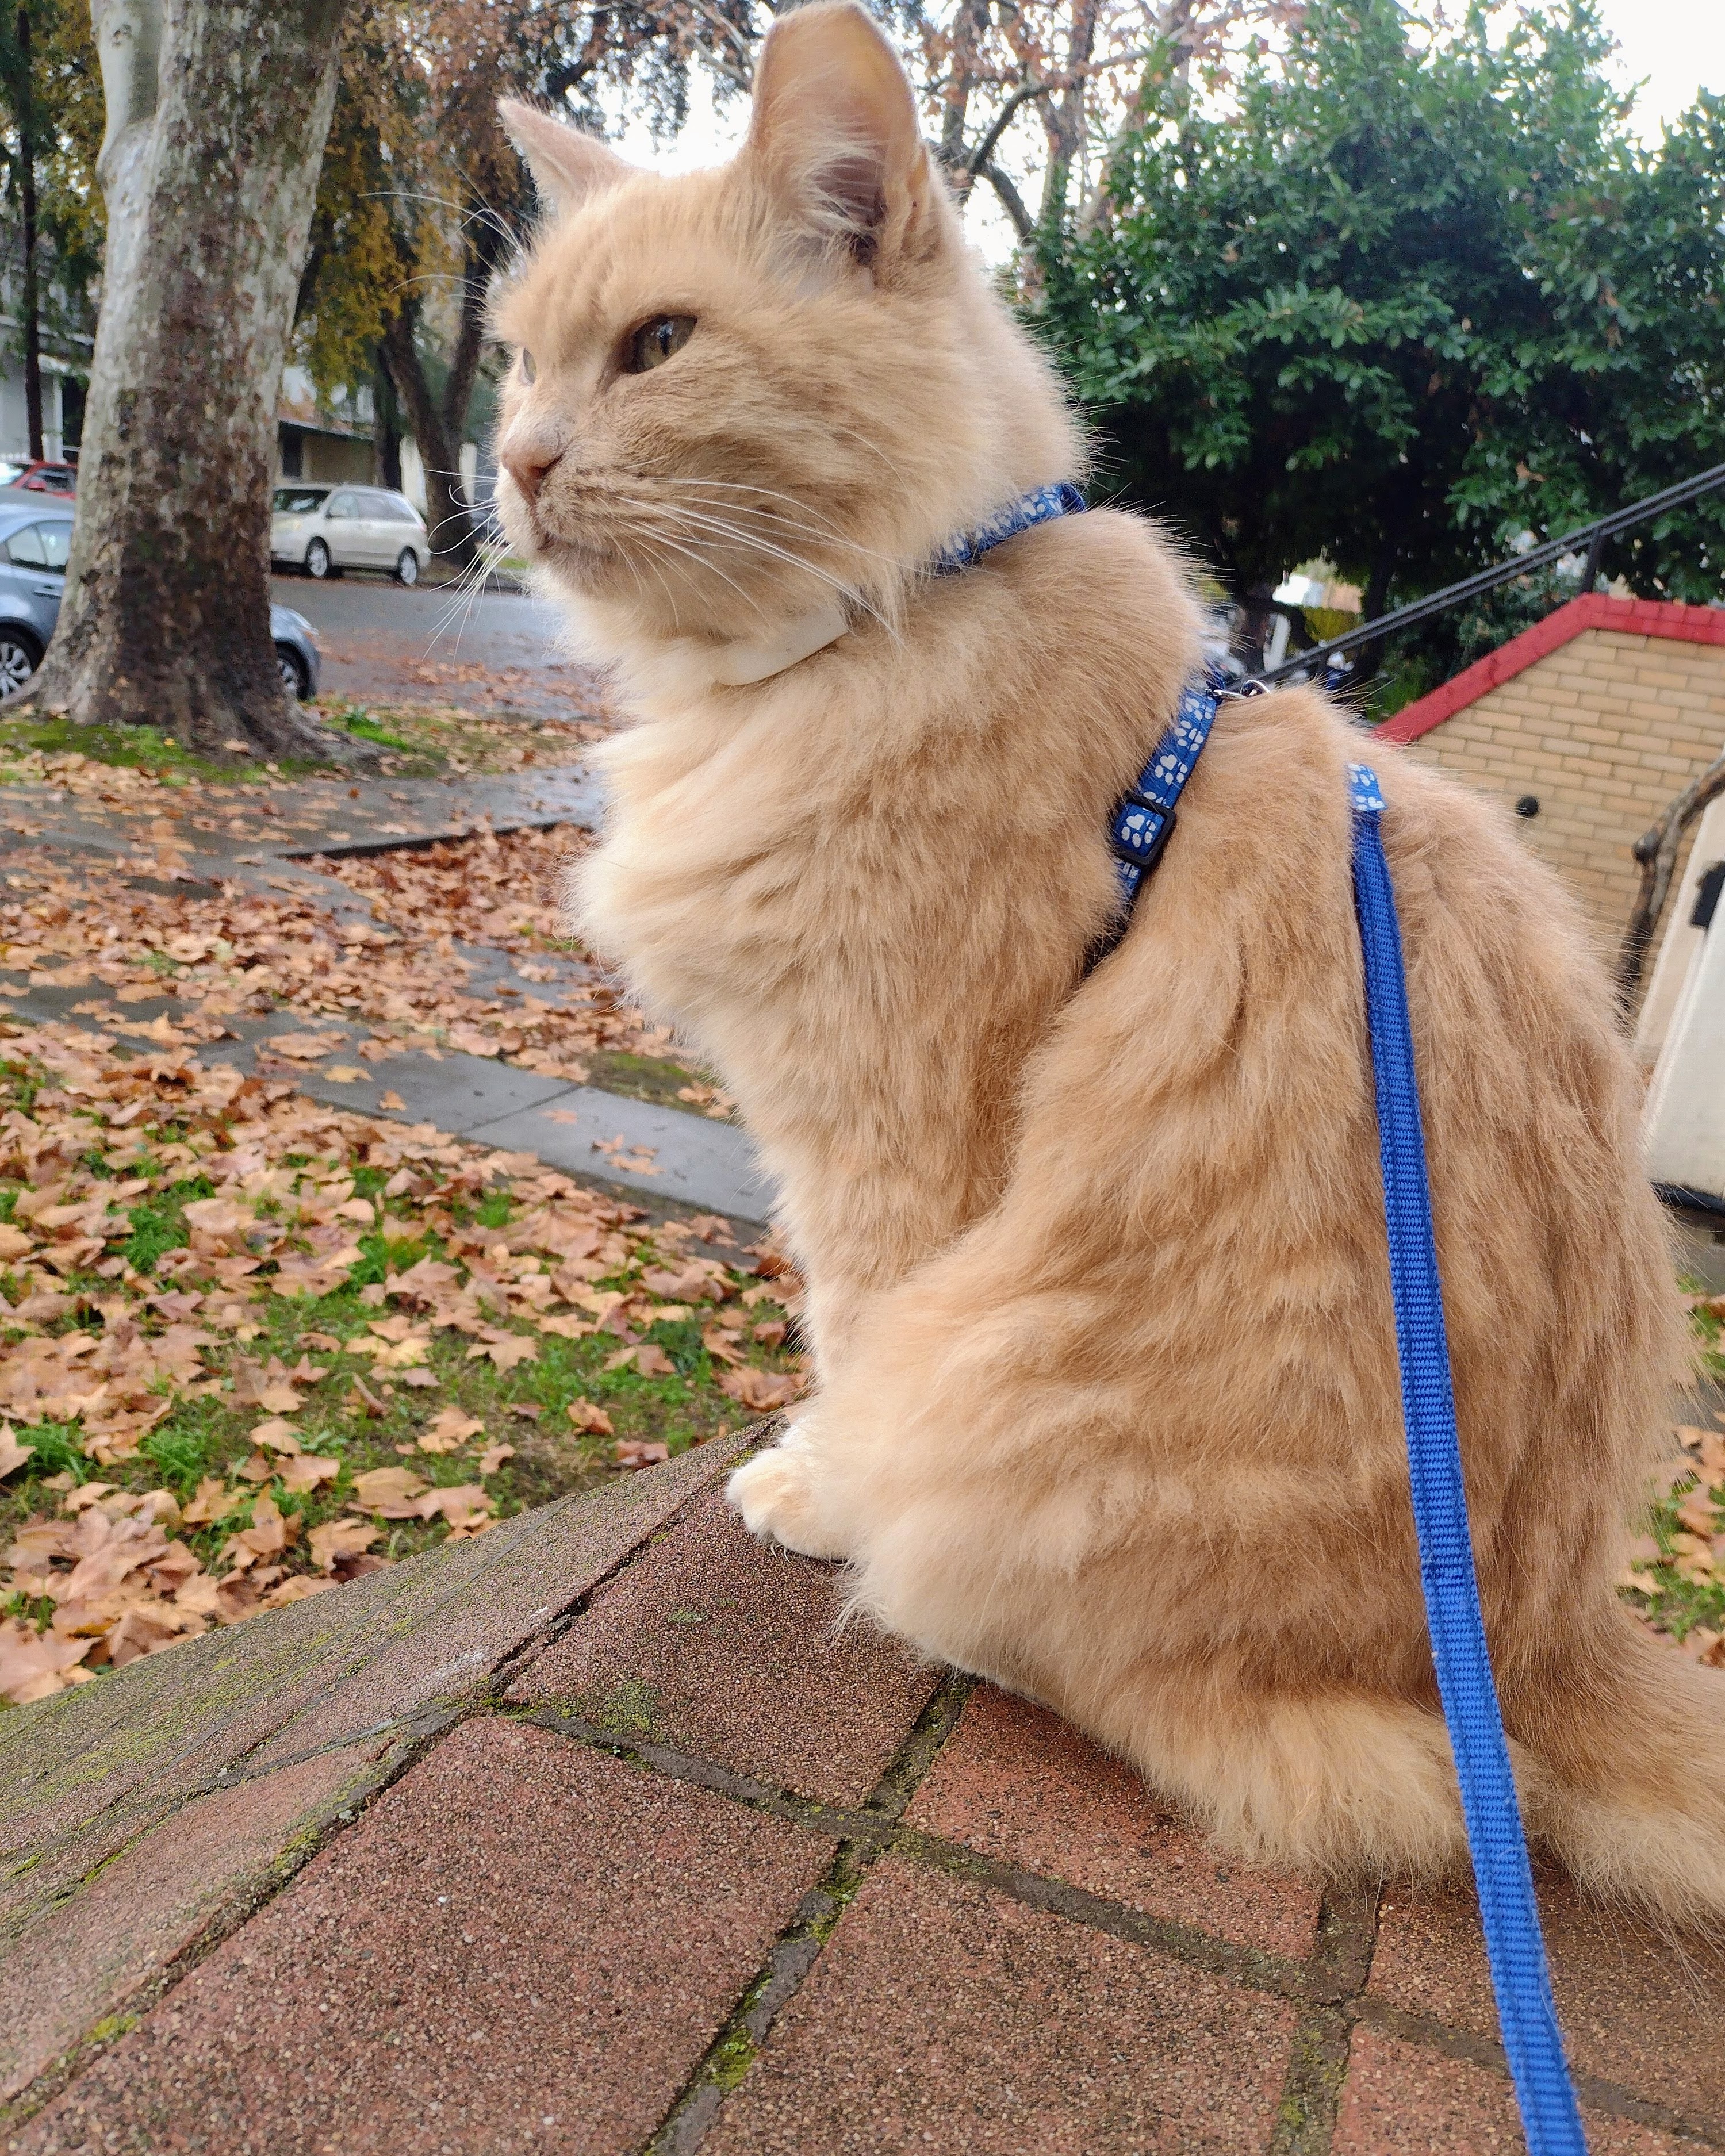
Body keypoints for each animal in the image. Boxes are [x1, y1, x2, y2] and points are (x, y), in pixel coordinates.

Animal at [485, 0, 1725, 1923]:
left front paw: (815, 1481)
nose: (518, 463)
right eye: (516, 366)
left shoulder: (891, 1144)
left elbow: (849, 1336)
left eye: (657, 349)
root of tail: (1546, 1637)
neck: (885, 617)